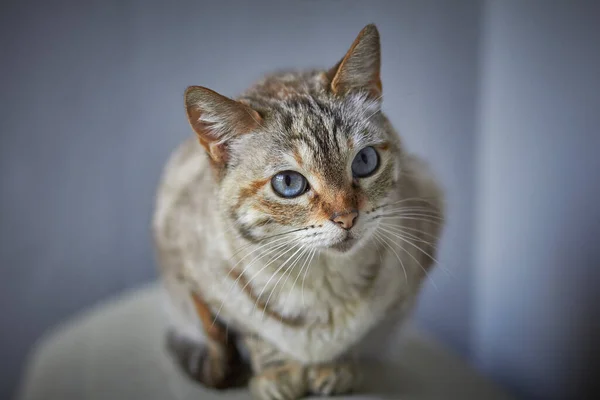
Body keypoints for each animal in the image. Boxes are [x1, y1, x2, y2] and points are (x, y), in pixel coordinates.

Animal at [154, 24, 446, 400]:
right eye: (289, 183)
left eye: (365, 161)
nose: (347, 217)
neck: (322, 283)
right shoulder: (201, 282)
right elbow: (257, 334)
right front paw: (278, 375)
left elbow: (355, 336)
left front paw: (335, 369)